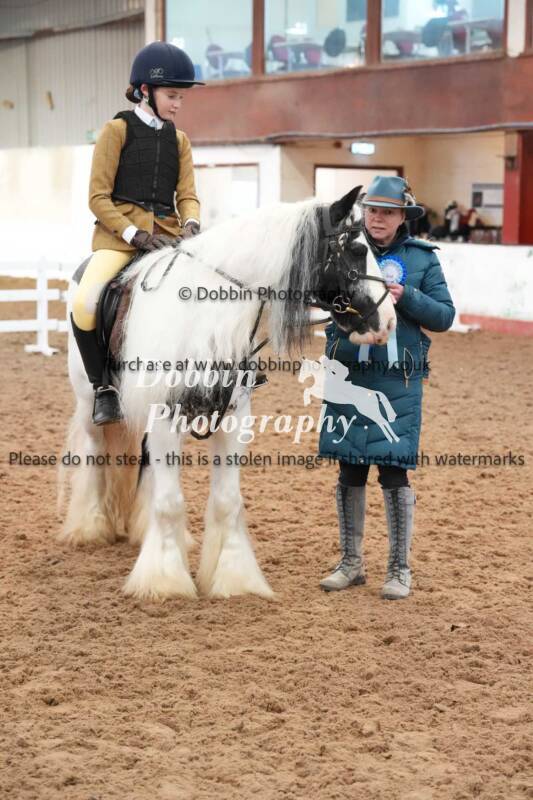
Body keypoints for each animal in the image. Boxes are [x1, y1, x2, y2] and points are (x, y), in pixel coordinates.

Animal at [58, 186, 396, 601]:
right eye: (358, 249)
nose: (388, 321)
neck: (202, 315)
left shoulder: (233, 417)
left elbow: (226, 501)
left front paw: (234, 578)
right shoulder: (164, 415)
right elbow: (169, 503)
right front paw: (165, 581)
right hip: (91, 402)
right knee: (93, 452)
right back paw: (90, 526)